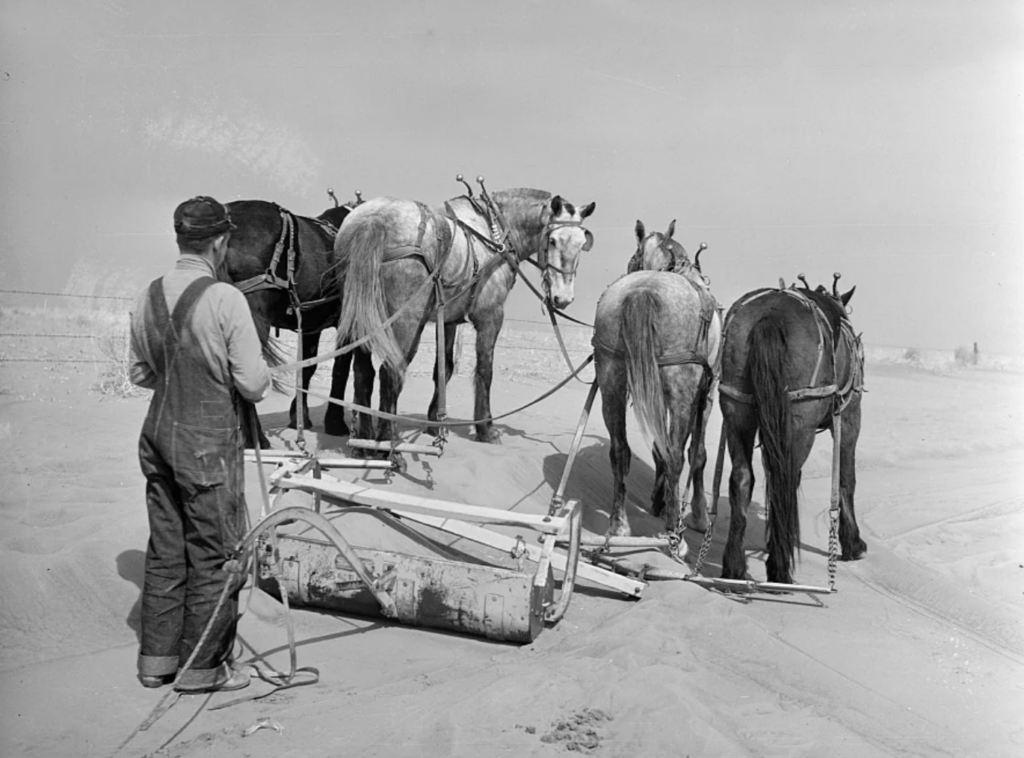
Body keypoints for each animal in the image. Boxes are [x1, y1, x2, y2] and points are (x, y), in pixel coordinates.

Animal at [219, 192, 356, 446]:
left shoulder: (311, 326)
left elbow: (308, 367)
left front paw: (299, 416)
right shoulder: (348, 322)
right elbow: (341, 367)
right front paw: (335, 423)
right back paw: (256, 439)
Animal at [716, 274, 868, 581]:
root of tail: (770, 315)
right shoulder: (850, 417)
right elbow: (847, 478)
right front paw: (853, 542)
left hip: (738, 407)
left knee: (742, 478)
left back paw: (735, 566)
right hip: (799, 421)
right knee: (784, 478)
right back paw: (779, 567)